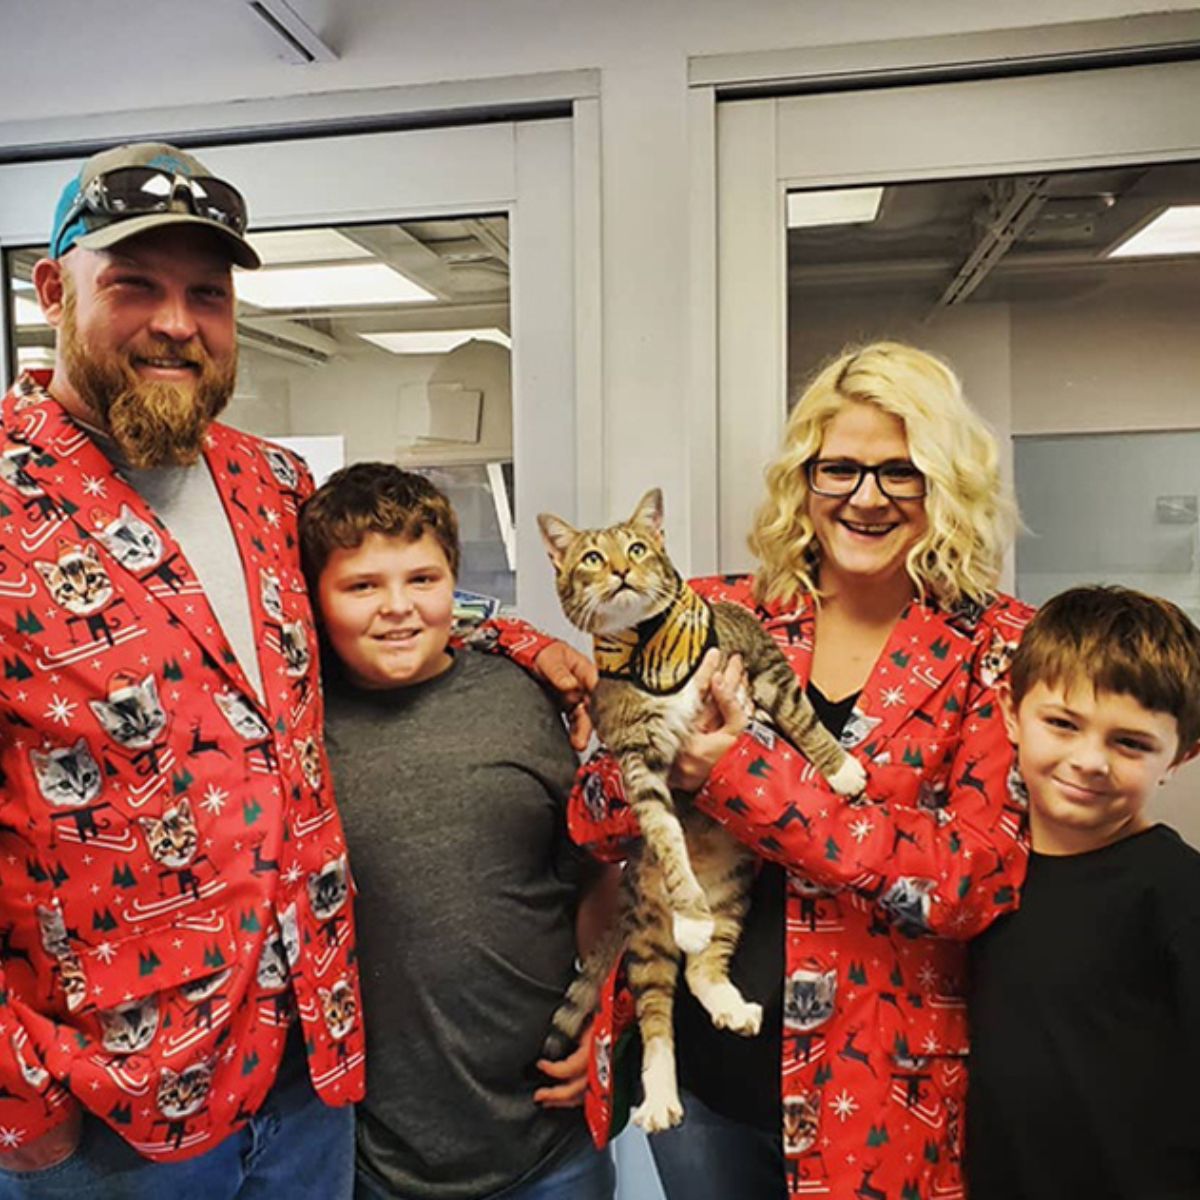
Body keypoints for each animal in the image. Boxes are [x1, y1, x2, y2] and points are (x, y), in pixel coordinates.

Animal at [537, 487, 864, 1132]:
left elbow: (801, 718)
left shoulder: (760, 661)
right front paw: (687, 902)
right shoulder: (637, 760)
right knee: (660, 1005)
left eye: (639, 548)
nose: (620, 570)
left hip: (735, 893)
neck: (647, 644)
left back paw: (731, 1004)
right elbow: (664, 832)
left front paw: (840, 767)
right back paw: (662, 1094)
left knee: (702, 969)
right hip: (645, 929)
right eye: (592, 558)